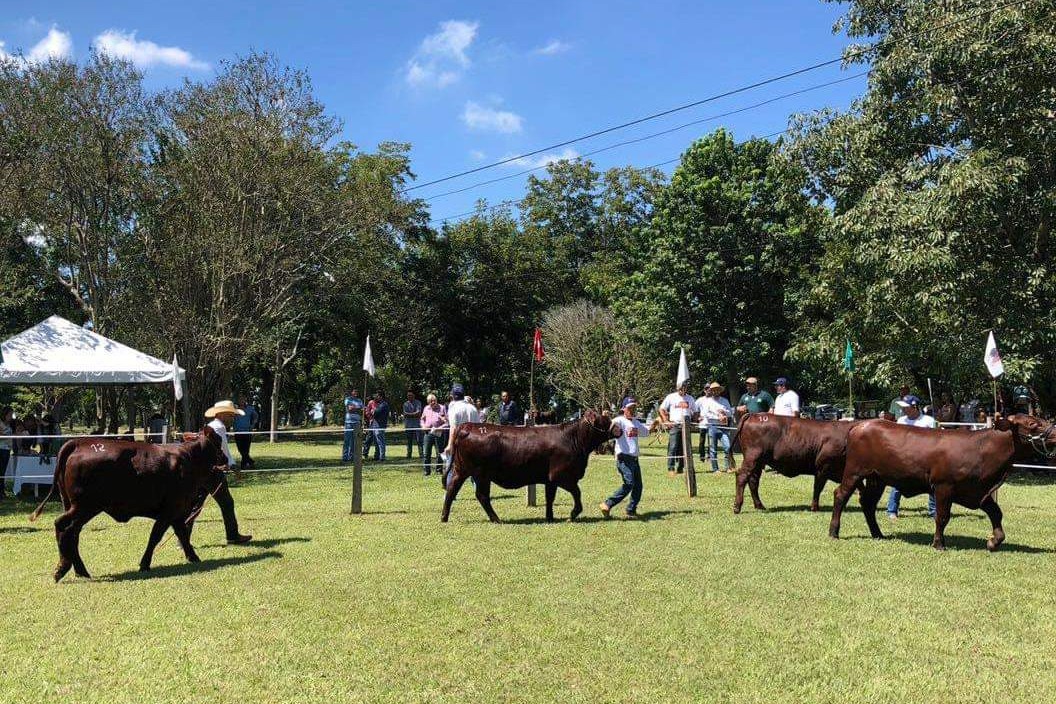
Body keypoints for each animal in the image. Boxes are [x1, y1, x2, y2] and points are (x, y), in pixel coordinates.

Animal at [29, 430, 227, 582]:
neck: (188, 459)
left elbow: (182, 535)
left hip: (75, 506)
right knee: (62, 526)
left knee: (72, 534)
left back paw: (80, 571)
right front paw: (145, 563)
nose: (226, 459)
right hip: (84, 507)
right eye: (218, 443)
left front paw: (193, 557)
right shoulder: (169, 511)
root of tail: (79, 442)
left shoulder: (176, 512)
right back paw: (62, 569)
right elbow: (156, 536)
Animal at [441, 413, 616, 523]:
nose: (619, 429)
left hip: (463, 471)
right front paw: (573, 514)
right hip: (480, 474)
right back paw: (496, 519)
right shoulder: (561, 476)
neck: (573, 439)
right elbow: (577, 493)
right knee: (481, 495)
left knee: (453, 490)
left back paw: (444, 517)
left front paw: (550, 518)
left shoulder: (550, 480)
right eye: (605, 421)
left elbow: (550, 498)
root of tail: (468, 426)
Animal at [827, 413, 1051, 548]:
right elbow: (942, 516)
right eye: (1033, 424)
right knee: (840, 495)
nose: (1054, 429)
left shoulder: (978, 491)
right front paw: (939, 544)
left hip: (877, 478)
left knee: (868, 503)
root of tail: (860, 424)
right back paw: (834, 532)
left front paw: (994, 542)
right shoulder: (944, 486)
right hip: (854, 472)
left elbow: (996, 512)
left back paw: (878, 534)